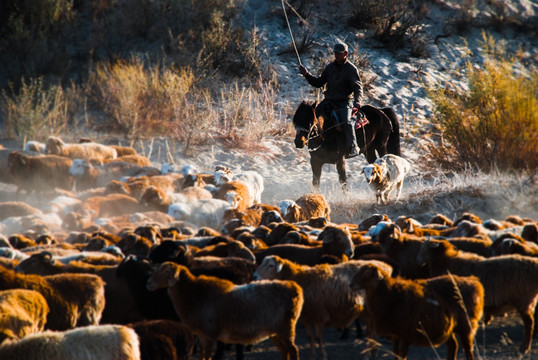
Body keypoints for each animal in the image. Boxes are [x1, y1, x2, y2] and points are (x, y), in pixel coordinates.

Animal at [144, 262, 304, 360]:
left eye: (166, 271)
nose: (148, 283)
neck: (195, 295)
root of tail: (294, 287)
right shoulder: (201, 335)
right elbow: (202, 355)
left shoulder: (209, 335)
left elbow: (207, 356)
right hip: (274, 332)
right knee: (285, 351)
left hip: (286, 328)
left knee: (293, 350)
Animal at [350, 262, 484, 360]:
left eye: (368, 274)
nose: (351, 284)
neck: (391, 294)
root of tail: (473, 282)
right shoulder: (395, 334)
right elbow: (396, 355)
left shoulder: (405, 333)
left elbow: (402, 355)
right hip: (448, 327)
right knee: (453, 345)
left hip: (465, 325)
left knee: (468, 349)